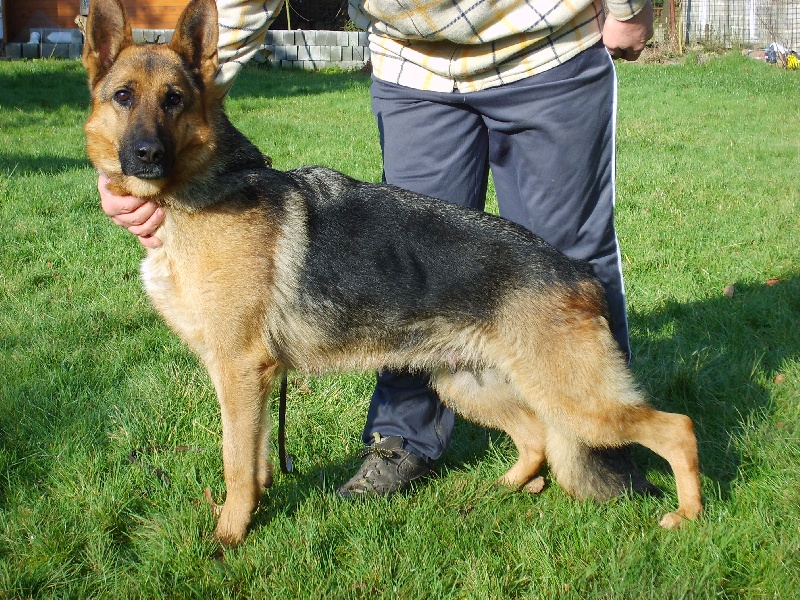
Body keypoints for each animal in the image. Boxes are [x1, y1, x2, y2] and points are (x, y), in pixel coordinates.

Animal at [83, 0, 702, 547]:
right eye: (123, 96)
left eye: (175, 100)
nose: (145, 155)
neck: (198, 189)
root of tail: (575, 271)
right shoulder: (249, 381)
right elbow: (254, 460)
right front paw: (252, 511)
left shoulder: (239, 372)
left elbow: (236, 463)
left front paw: (229, 537)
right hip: (468, 384)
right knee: (536, 438)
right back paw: (503, 487)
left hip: (575, 400)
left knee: (676, 428)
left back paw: (688, 516)